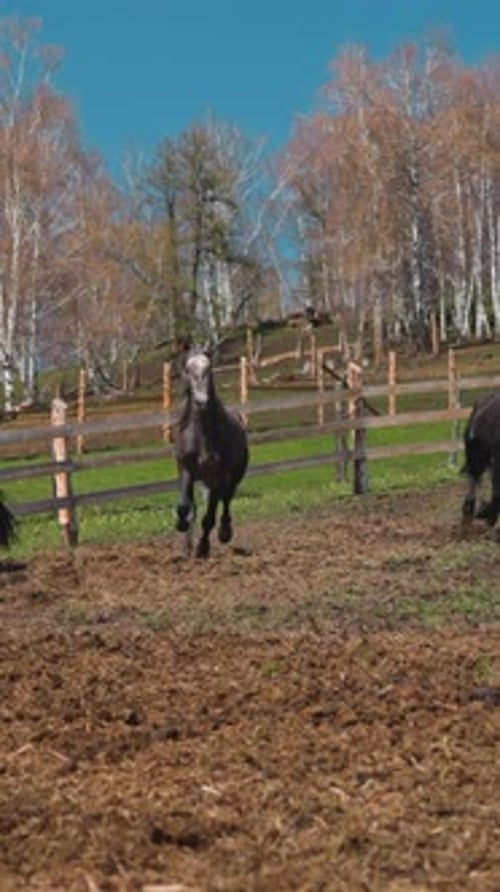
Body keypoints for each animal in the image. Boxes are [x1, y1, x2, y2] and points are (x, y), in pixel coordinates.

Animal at [173, 348, 249, 558]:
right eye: (188, 370)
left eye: (209, 370)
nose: (202, 401)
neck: (203, 436)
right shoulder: (186, 471)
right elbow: (185, 507)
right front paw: (181, 526)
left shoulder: (217, 477)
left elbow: (209, 518)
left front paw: (203, 548)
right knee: (197, 507)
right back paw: (188, 545)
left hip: (234, 477)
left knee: (226, 501)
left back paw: (224, 532)